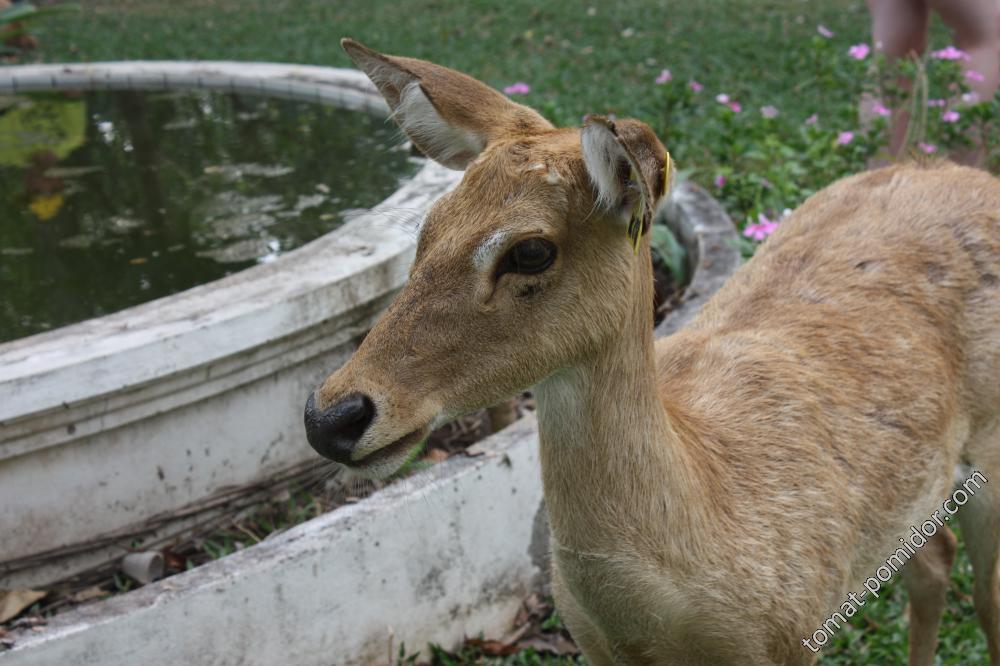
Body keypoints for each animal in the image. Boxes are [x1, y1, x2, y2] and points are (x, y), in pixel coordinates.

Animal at [302, 39, 1000, 660]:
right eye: (428, 227)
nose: (331, 416)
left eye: (531, 250)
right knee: (932, 561)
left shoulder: (795, 629)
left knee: (985, 597)